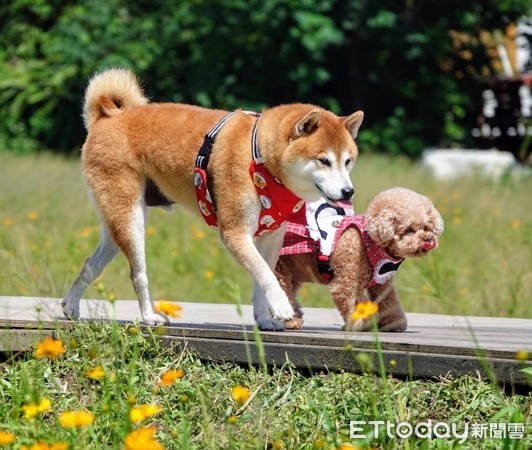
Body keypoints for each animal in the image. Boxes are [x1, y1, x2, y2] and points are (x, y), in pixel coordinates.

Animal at [60, 69, 364, 330]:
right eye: (324, 161)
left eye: (348, 161)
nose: (349, 192)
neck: (260, 158)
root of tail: (105, 118)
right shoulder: (235, 233)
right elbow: (266, 275)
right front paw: (280, 306)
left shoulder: (271, 237)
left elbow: (261, 278)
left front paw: (265, 319)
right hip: (130, 218)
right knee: (138, 273)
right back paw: (149, 316)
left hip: (116, 224)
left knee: (91, 264)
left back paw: (71, 306)